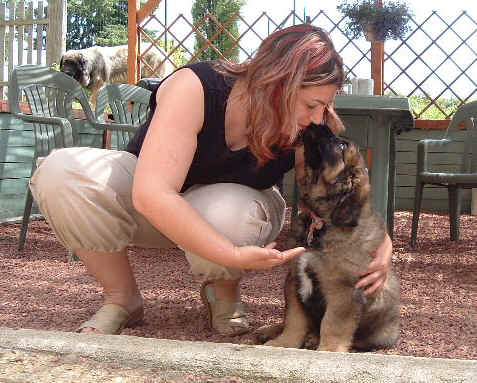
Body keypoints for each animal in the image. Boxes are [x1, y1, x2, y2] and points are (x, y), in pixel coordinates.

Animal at [256, 124, 398, 354]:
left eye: (341, 146)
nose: (318, 124)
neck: (322, 221)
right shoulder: (294, 279)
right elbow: (294, 319)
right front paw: (284, 343)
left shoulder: (342, 291)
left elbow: (332, 324)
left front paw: (328, 351)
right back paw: (270, 330)